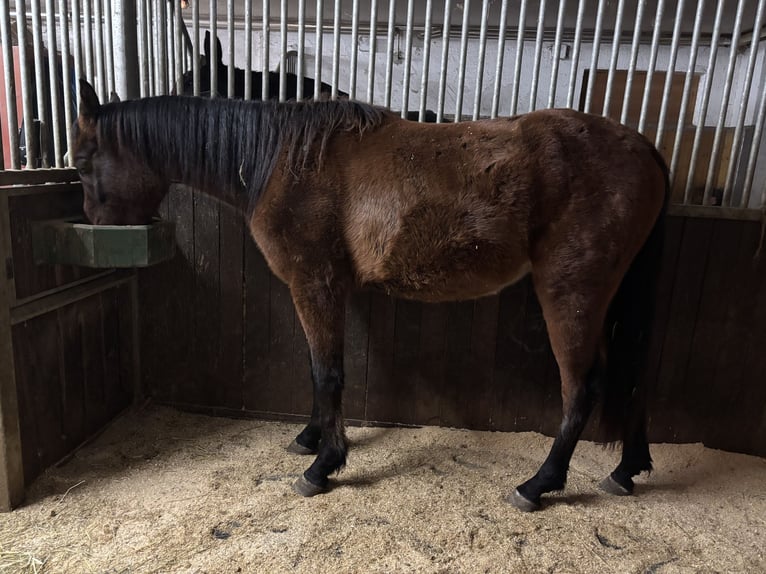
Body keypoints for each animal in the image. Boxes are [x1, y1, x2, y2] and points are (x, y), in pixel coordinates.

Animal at [72, 78, 667, 511]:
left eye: (81, 161)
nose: (97, 231)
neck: (284, 162)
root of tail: (645, 148)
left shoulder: (314, 282)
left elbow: (326, 372)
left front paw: (322, 466)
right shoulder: (325, 289)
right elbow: (320, 367)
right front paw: (311, 438)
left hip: (571, 293)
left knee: (583, 388)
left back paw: (537, 484)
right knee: (631, 374)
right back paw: (625, 470)